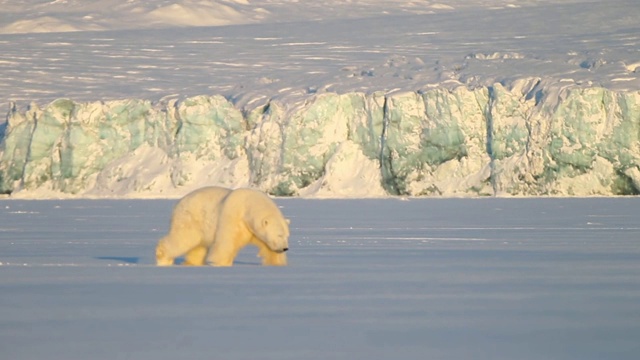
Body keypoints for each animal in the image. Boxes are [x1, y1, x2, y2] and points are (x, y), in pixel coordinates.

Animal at [156, 187, 290, 266]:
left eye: (287, 236)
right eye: (279, 235)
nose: (285, 248)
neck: (248, 204)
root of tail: (179, 202)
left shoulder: (254, 231)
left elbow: (269, 249)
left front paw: (277, 263)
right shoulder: (233, 217)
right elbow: (226, 243)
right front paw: (220, 263)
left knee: (198, 247)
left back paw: (193, 263)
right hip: (190, 219)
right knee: (183, 239)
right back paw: (163, 258)